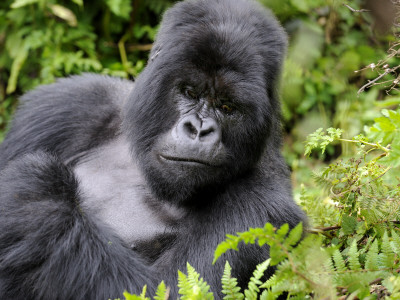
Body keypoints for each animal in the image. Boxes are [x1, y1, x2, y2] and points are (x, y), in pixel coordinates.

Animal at [0, 0, 306, 298]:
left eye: (227, 107)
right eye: (189, 92)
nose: (198, 130)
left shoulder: (264, 210)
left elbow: (166, 286)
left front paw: (37, 192)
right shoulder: (74, 101)